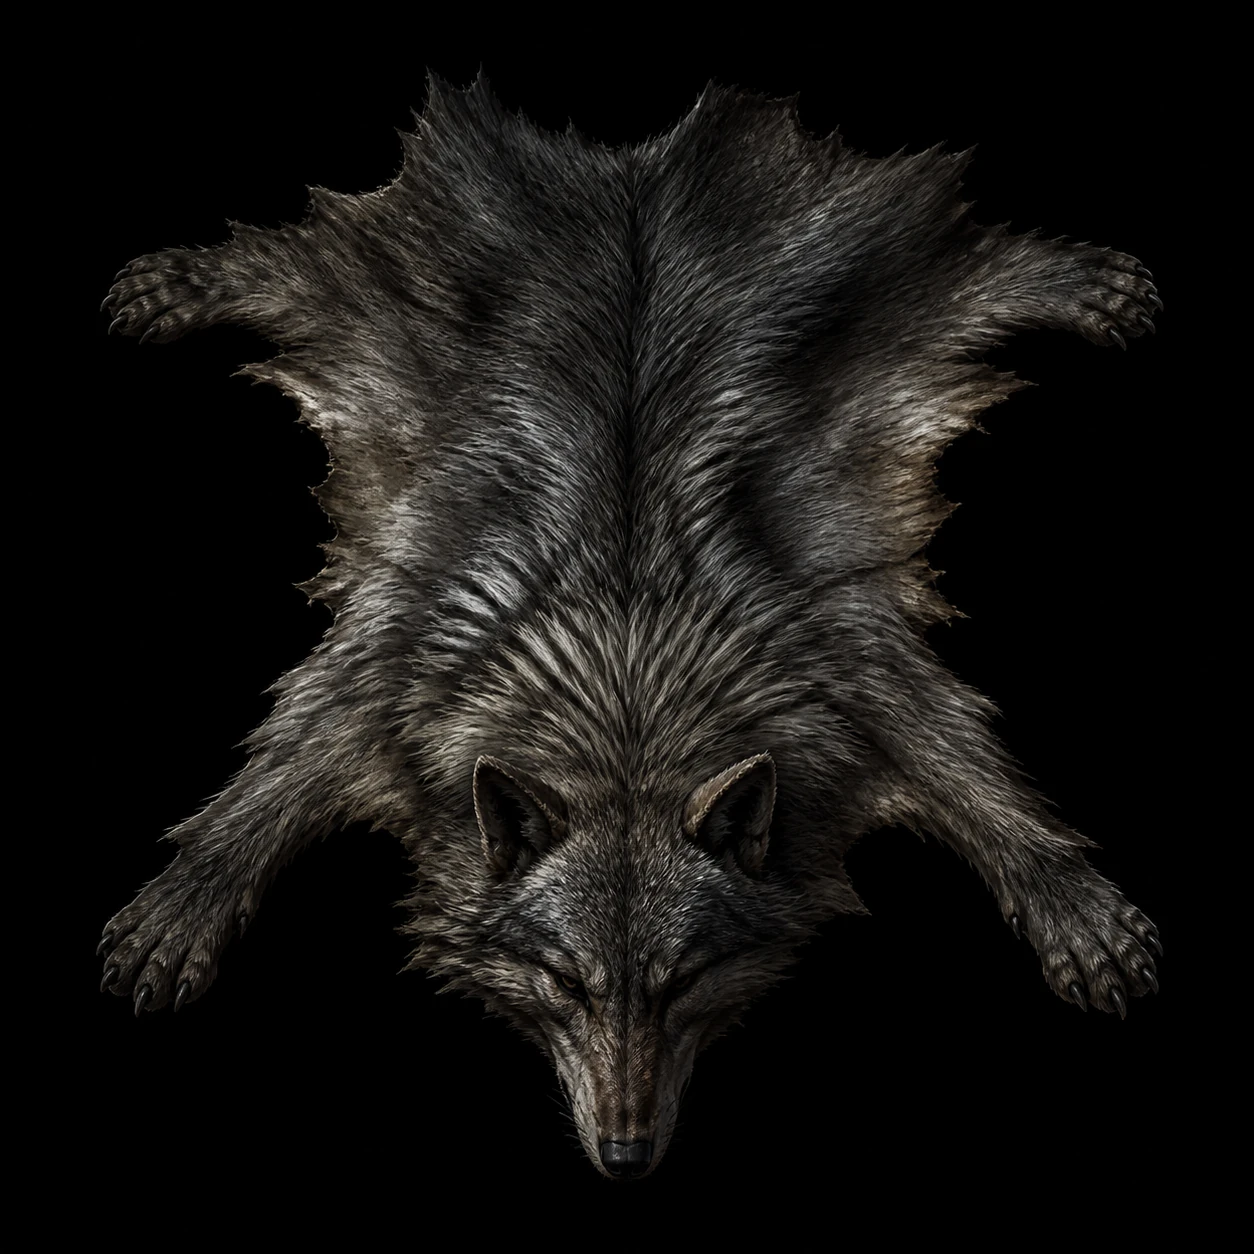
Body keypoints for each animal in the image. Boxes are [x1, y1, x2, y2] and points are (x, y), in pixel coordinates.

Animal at [98, 77, 1162, 1179]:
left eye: (682, 982)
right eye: (567, 983)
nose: (624, 1157)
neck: (628, 699)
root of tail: (630, 171)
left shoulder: (849, 664)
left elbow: (975, 779)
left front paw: (1077, 911)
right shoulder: (393, 665)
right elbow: (267, 786)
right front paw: (179, 907)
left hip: (877, 274)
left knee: (984, 264)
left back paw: (1087, 283)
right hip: (374, 291)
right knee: (283, 261)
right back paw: (174, 284)